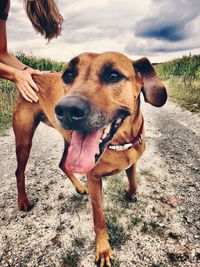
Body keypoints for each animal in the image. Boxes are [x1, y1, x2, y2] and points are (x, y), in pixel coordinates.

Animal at [11, 52, 166, 267]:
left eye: (113, 75)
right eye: (68, 75)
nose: (66, 109)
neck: (120, 142)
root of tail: (33, 75)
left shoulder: (132, 160)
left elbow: (134, 180)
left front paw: (131, 193)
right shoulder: (94, 179)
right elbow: (99, 217)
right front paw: (103, 250)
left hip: (69, 141)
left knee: (63, 164)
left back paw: (79, 187)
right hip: (24, 139)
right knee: (20, 171)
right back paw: (23, 201)